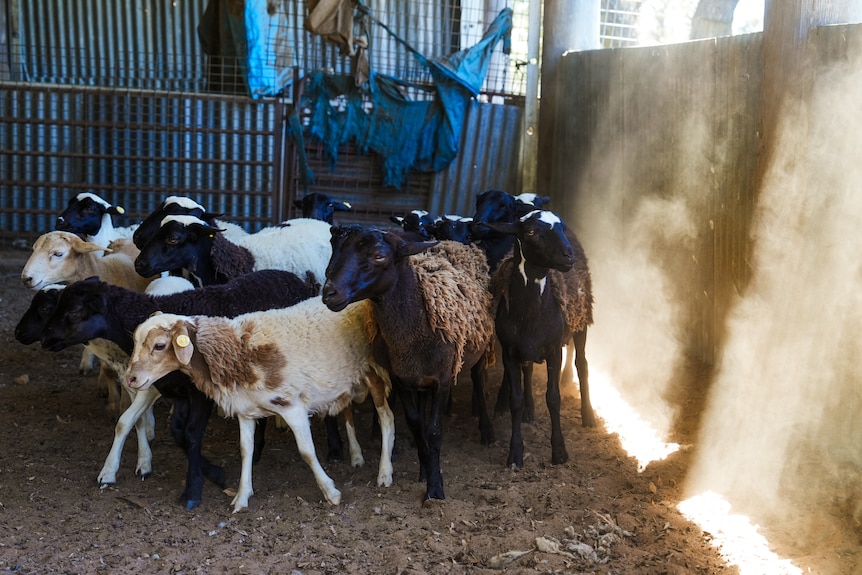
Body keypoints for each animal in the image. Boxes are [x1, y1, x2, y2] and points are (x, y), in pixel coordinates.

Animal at [36, 269, 321, 509]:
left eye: (74, 311)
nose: (46, 338)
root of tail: (294, 277)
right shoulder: (176, 392)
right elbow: (177, 433)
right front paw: (211, 472)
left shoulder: (201, 393)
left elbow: (192, 435)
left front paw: (195, 489)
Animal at [125, 297, 396, 513]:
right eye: (135, 342)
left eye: (160, 345)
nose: (131, 379)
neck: (238, 352)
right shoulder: (246, 410)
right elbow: (246, 450)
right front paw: (242, 497)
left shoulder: (292, 405)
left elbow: (307, 451)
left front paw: (331, 492)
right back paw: (357, 456)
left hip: (373, 370)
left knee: (387, 417)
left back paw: (384, 472)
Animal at [322, 226, 495, 502]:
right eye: (336, 248)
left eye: (379, 256)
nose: (329, 292)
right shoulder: (401, 378)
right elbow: (415, 423)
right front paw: (425, 468)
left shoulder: (443, 380)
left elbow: (434, 431)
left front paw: (435, 489)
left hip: (480, 346)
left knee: (479, 380)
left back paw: (487, 432)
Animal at [487, 209, 596, 469]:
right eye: (531, 232)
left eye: (561, 228)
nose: (568, 255)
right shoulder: (510, 352)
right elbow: (515, 400)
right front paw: (515, 454)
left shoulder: (554, 350)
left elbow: (553, 398)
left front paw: (559, 452)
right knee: (527, 371)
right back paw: (528, 410)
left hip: (582, 319)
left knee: (582, 365)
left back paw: (587, 415)